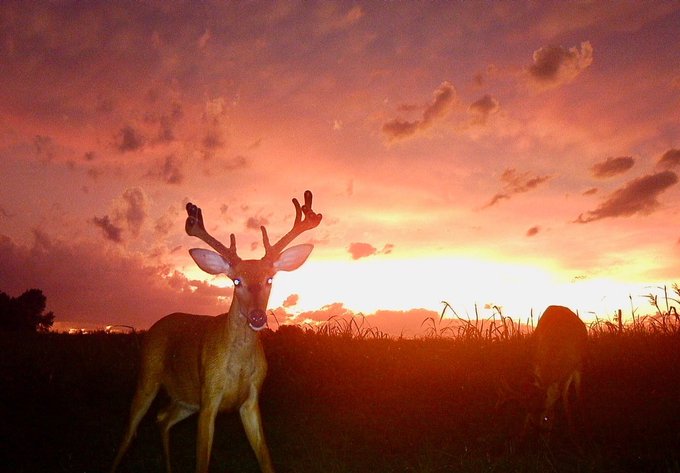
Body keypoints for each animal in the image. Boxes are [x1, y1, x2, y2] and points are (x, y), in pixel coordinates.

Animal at [111, 190, 322, 473]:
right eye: (236, 281)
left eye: (270, 279)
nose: (257, 316)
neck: (238, 366)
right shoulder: (209, 396)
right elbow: (202, 462)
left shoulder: (251, 399)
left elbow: (265, 459)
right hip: (148, 375)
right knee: (128, 433)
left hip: (186, 397)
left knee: (162, 417)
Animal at [497, 305, 588, 439]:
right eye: (530, 418)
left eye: (546, 418)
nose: (540, 436)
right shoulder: (537, 363)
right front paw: (521, 434)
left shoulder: (571, 369)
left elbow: (564, 396)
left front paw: (572, 430)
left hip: (579, 365)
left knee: (576, 393)